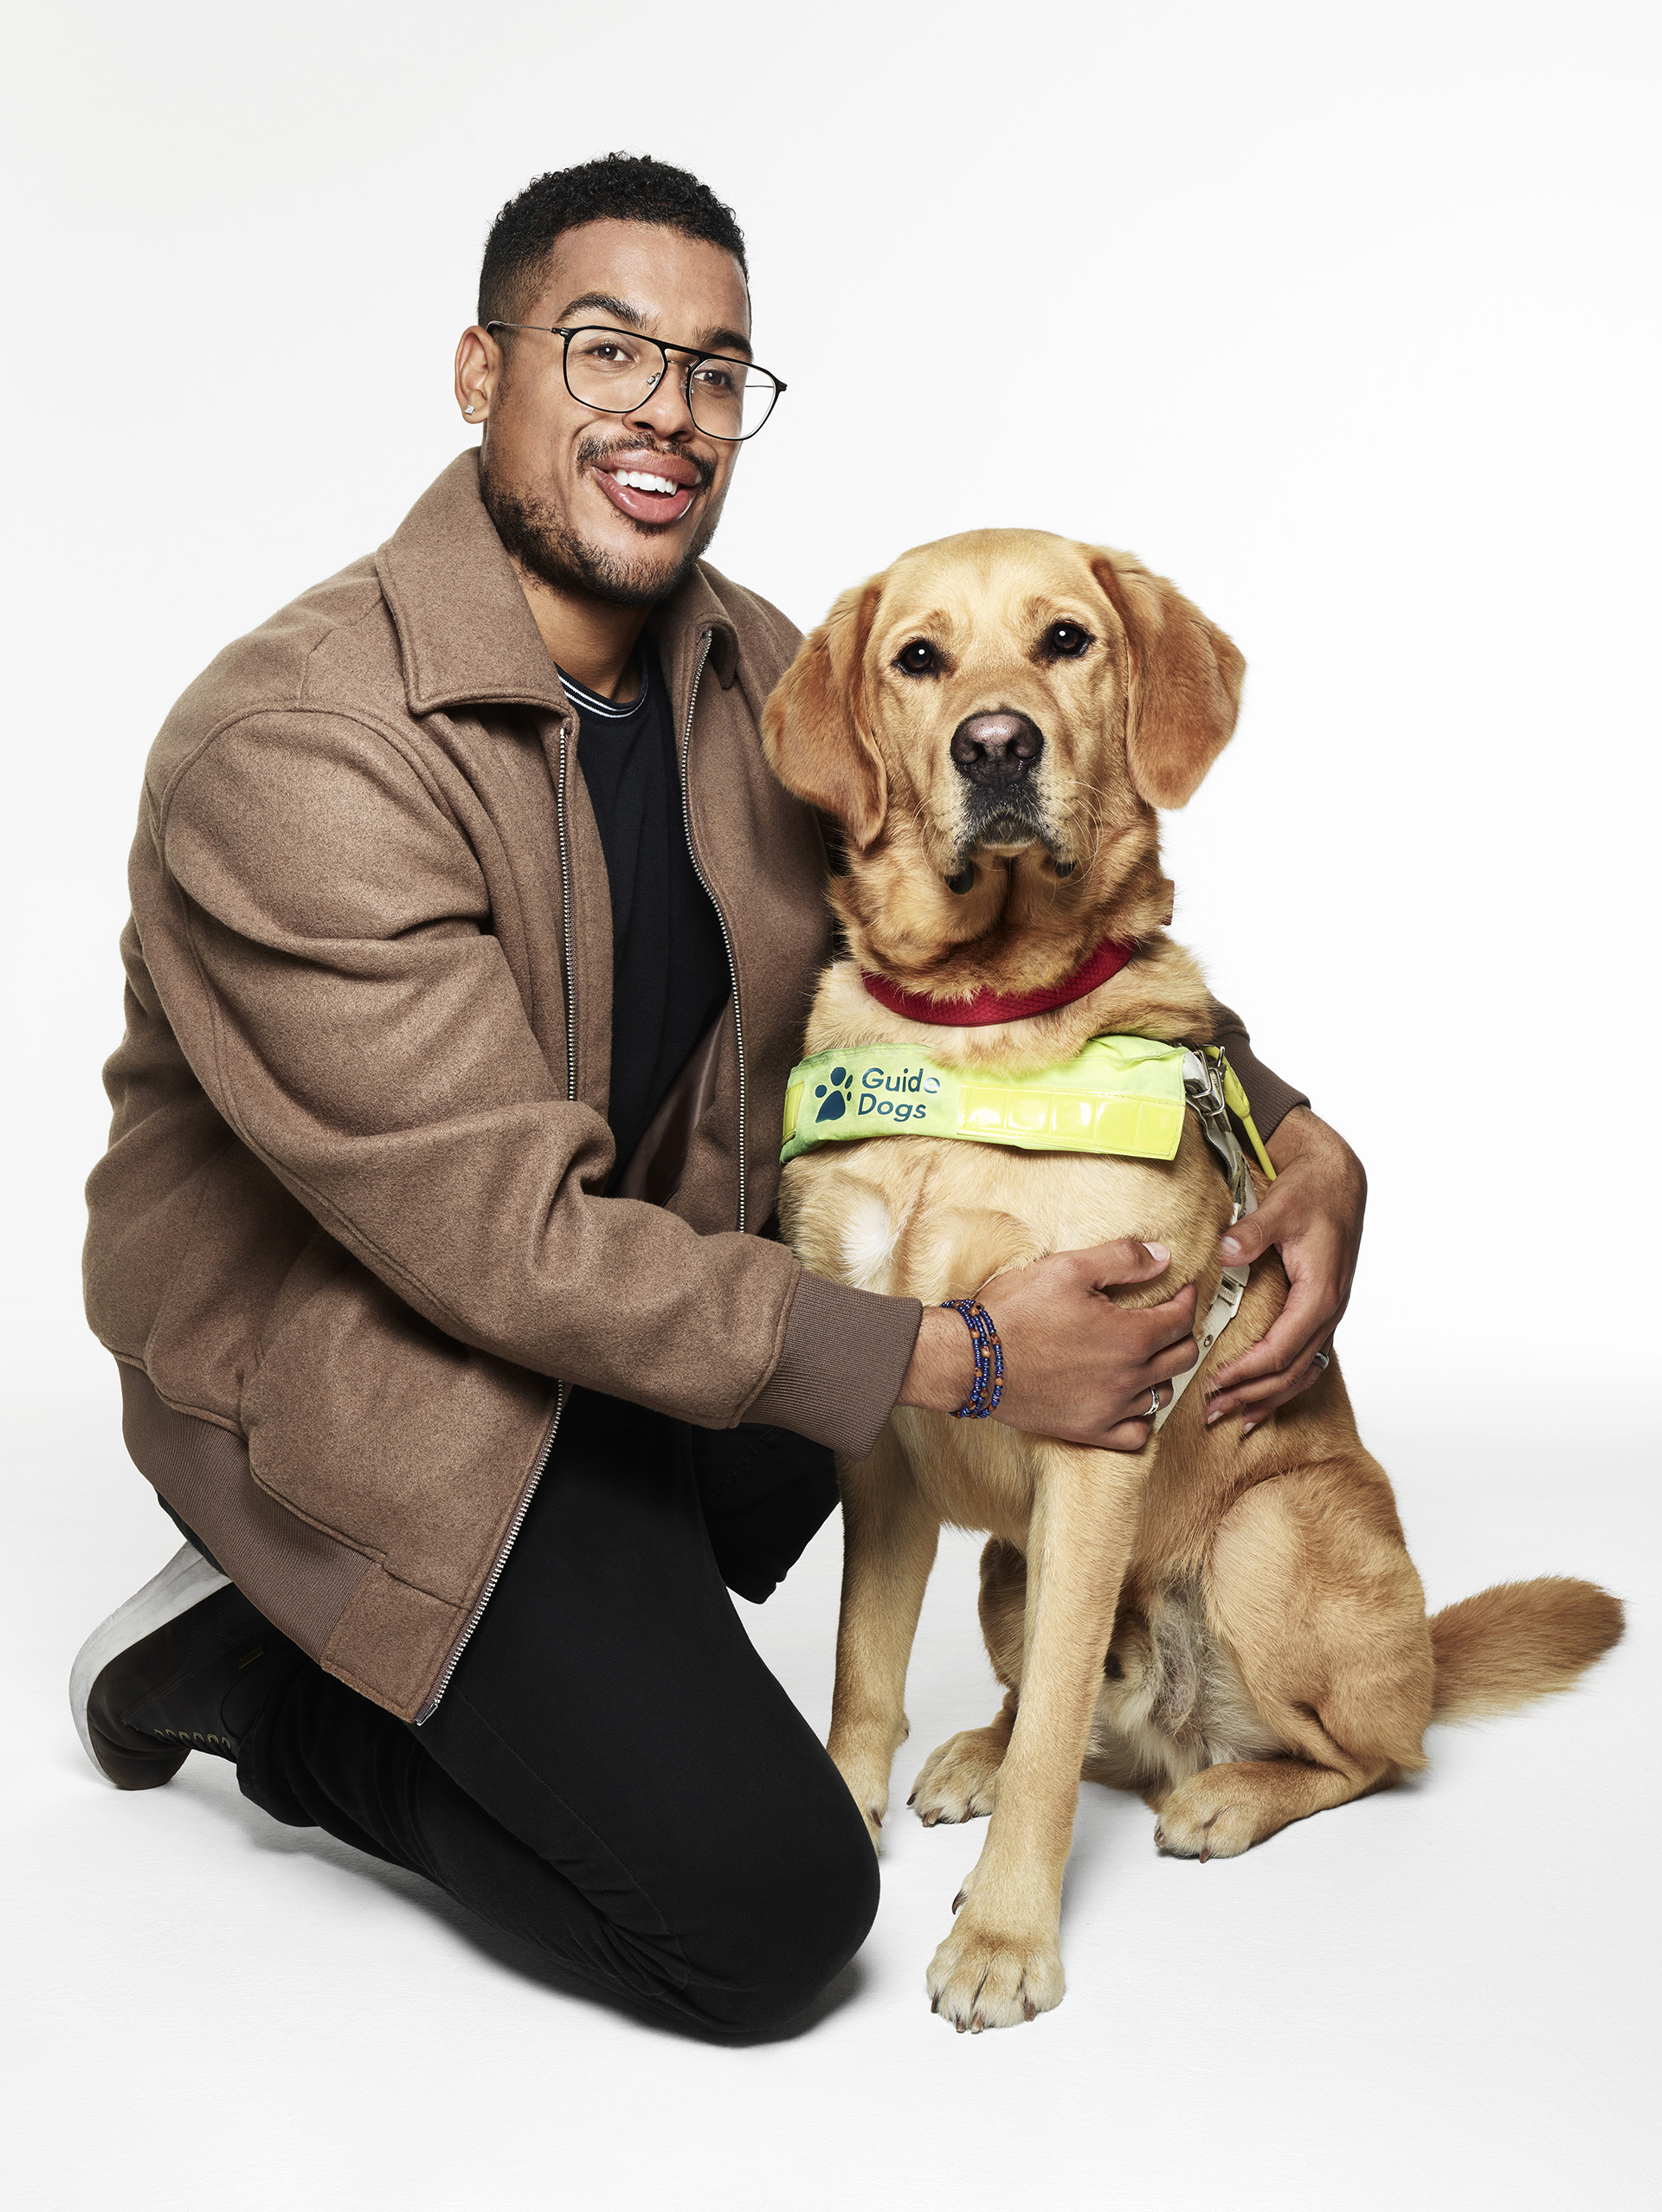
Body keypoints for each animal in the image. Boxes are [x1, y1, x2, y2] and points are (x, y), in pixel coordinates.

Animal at [765, 535, 1628, 2035]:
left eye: (1064, 639)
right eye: (919, 659)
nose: (998, 744)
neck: (983, 1024)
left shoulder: (1099, 1435)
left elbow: (1055, 1738)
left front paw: (1003, 1937)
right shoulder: (878, 1440)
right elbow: (866, 1672)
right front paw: (851, 1813)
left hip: (1263, 1539)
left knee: (1368, 1754)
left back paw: (1229, 1791)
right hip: (1007, 1564)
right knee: (1082, 1720)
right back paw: (986, 1747)